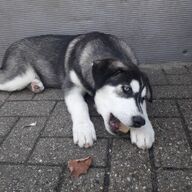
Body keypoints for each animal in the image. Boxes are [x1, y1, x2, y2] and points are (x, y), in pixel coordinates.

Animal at [0, 31, 154, 148]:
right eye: (126, 88)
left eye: (143, 98)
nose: (140, 122)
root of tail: (12, 45)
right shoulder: (71, 86)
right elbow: (80, 106)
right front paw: (84, 129)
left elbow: (144, 109)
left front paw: (144, 131)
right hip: (18, 78)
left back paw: (36, 84)